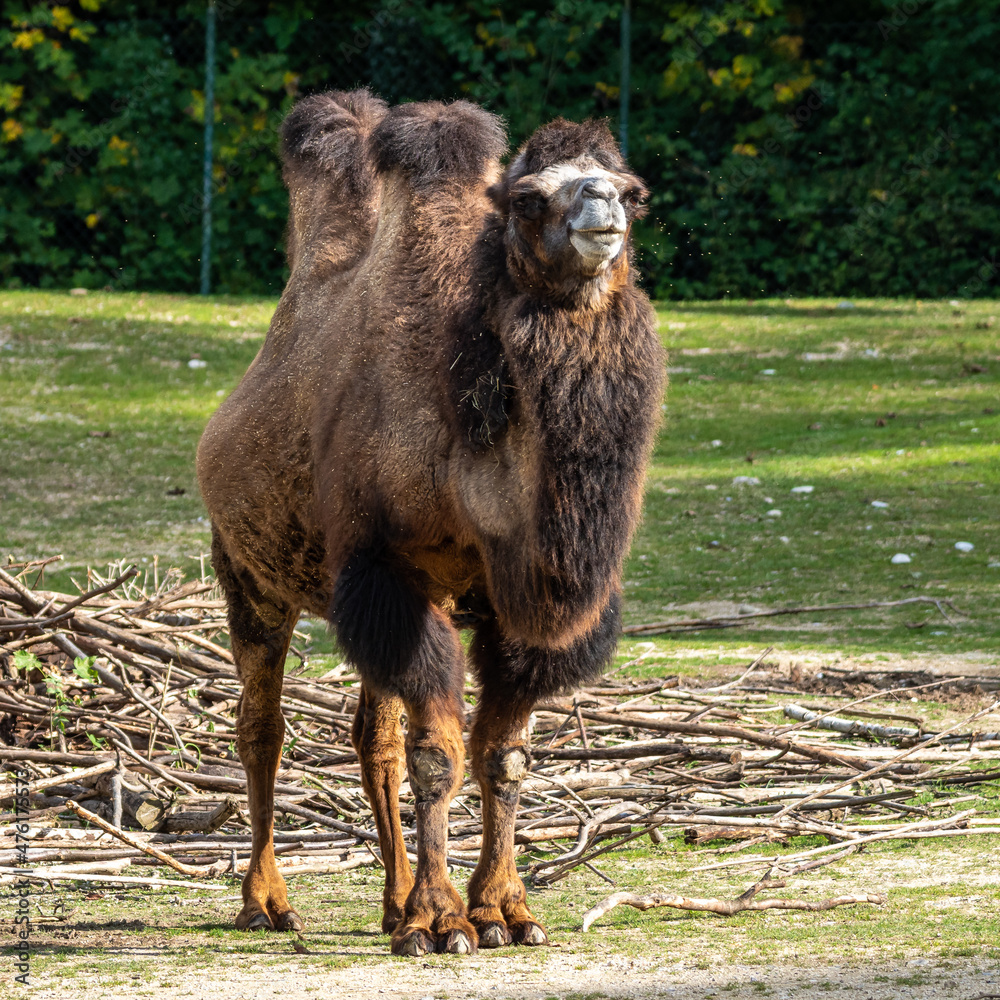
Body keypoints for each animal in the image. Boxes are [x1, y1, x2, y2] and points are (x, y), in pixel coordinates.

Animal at [196, 89, 665, 957]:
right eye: (528, 198)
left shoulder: (502, 608)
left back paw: (388, 900)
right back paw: (268, 901)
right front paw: (441, 921)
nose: (602, 208)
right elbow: (440, 756)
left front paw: (504, 911)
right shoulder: (390, 571)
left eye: (633, 189)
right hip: (249, 577)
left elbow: (502, 755)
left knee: (371, 737)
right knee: (261, 724)